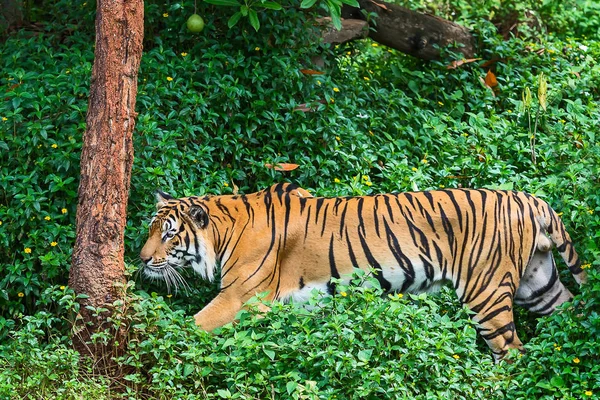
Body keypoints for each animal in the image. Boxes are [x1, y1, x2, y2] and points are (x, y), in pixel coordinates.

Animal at [139, 183, 584, 360]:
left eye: (168, 234)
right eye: (150, 230)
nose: (141, 258)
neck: (225, 229)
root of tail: (529, 198)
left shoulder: (239, 298)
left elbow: (190, 327)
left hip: (487, 293)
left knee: (510, 351)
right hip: (538, 285)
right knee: (567, 318)